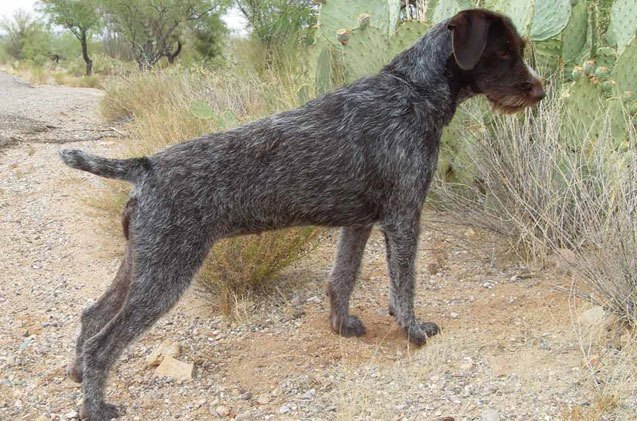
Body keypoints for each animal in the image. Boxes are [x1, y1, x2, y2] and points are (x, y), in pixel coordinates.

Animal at [59, 9, 544, 416]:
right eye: (505, 51)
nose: (539, 91)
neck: (414, 91)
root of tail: (144, 165)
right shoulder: (404, 216)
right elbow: (403, 286)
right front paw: (414, 332)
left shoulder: (359, 223)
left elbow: (342, 278)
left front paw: (342, 324)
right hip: (166, 273)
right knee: (104, 342)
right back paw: (96, 407)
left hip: (141, 264)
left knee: (91, 316)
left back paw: (79, 376)